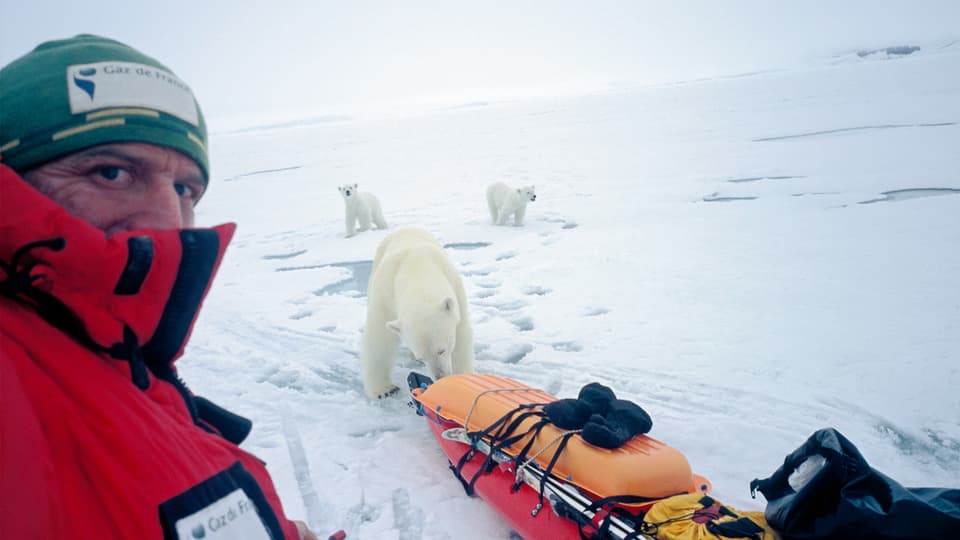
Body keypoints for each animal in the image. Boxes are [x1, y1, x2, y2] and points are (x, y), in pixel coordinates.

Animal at [360, 226, 476, 398]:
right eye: (422, 358)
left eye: (442, 350)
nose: (440, 377)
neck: (415, 267)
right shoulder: (384, 297)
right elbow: (380, 337)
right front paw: (385, 390)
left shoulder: (455, 289)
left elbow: (461, 337)